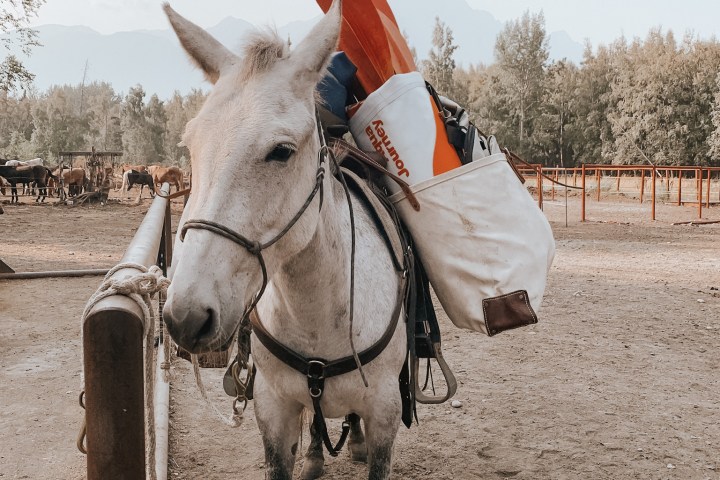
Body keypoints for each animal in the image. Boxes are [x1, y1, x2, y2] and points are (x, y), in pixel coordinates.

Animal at [162, 2, 406, 479]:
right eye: (191, 146)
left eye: (281, 151)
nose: (186, 317)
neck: (319, 316)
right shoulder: (273, 411)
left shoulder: (386, 415)